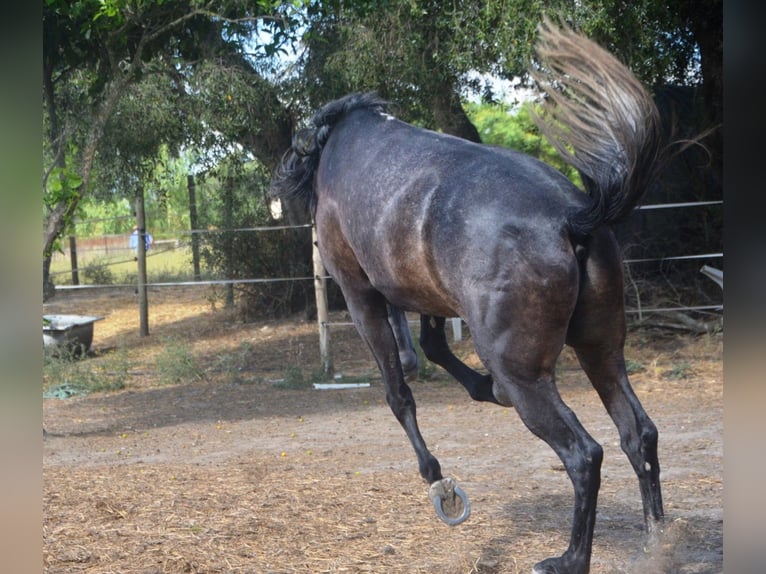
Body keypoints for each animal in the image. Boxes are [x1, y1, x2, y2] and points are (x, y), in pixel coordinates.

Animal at [271, 19, 665, 574]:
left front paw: (439, 482)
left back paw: (567, 559)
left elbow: (398, 390)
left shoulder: (360, 294)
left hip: (526, 374)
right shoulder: (432, 300)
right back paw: (657, 542)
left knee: (584, 454)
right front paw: (479, 390)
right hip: (602, 351)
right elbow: (432, 348)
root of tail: (574, 216)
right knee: (638, 434)